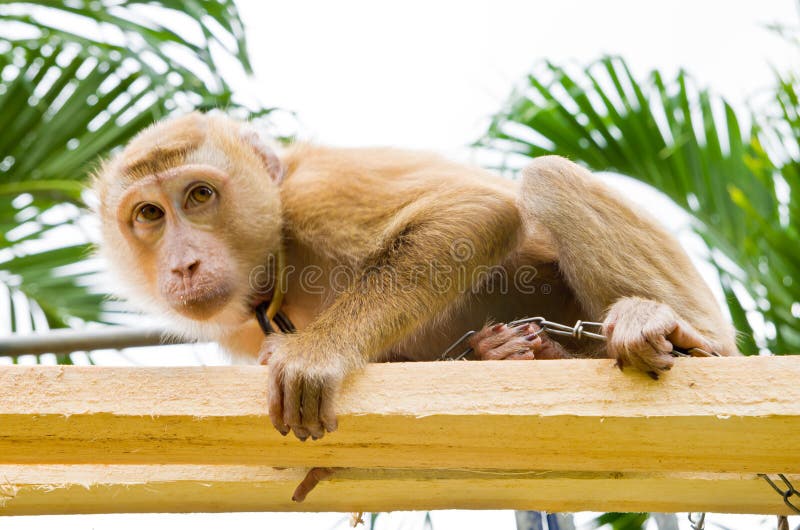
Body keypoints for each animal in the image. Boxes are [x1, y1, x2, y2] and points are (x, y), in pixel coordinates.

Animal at [93, 112, 738, 446]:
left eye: (200, 196)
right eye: (149, 214)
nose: (183, 265)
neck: (276, 264)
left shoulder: (318, 195)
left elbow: (476, 211)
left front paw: (319, 353)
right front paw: (490, 353)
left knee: (546, 178)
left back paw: (678, 331)